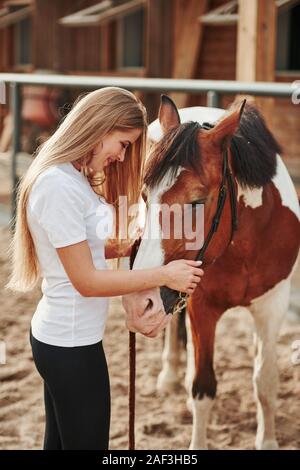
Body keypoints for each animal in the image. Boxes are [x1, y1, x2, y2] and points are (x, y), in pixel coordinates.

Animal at [122, 93, 300, 450]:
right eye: (146, 196)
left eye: (197, 201)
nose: (139, 301)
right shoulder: (201, 306)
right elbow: (203, 387)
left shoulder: (272, 305)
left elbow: (266, 382)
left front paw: (267, 439)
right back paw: (170, 374)